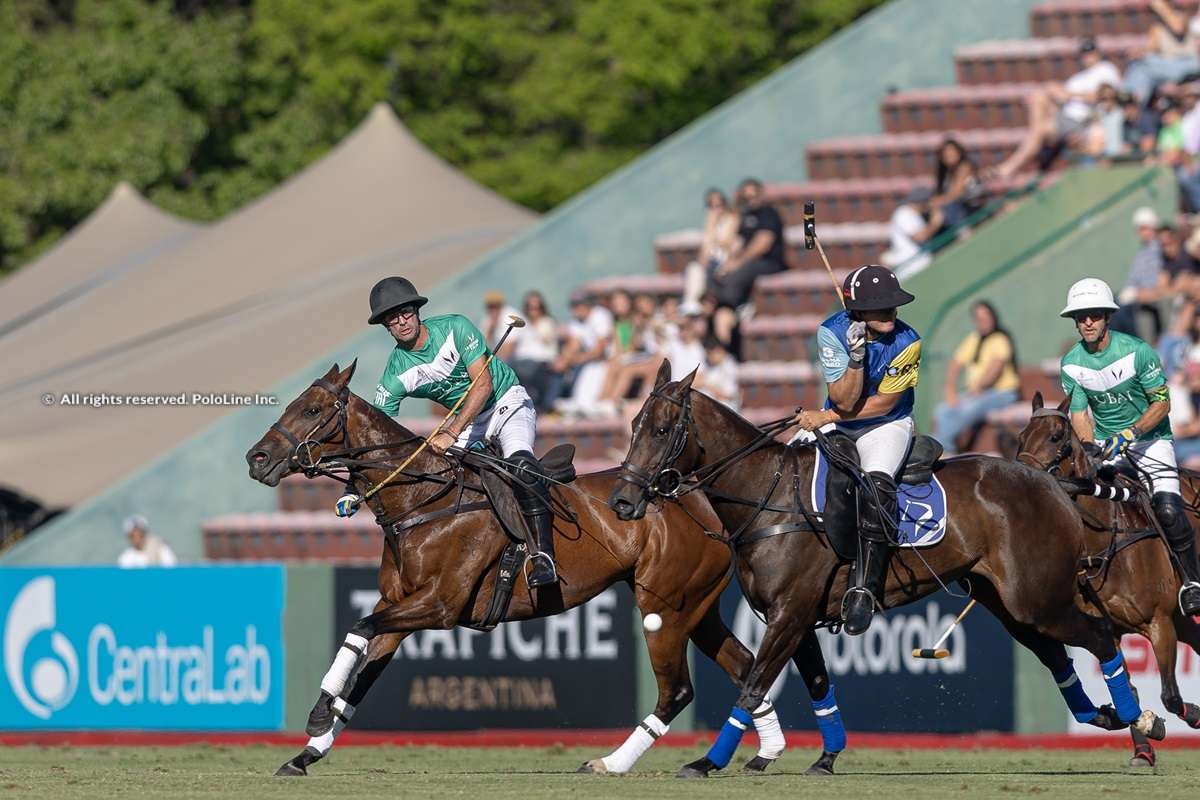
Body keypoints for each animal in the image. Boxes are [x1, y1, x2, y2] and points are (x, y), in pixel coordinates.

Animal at [246, 362, 787, 777]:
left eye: (312, 410)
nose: (257, 458)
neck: (422, 498)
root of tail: (697, 497)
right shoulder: (398, 606)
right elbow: (359, 674)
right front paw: (306, 752)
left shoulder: (438, 605)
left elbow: (357, 631)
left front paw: (317, 714)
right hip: (698, 606)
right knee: (747, 667)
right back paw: (764, 751)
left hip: (666, 608)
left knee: (677, 690)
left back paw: (612, 763)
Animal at [609, 362, 1161, 777]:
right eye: (632, 427)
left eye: (662, 430)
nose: (622, 501)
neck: (769, 497)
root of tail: (1054, 485)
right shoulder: (794, 618)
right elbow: (816, 684)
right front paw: (826, 757)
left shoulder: (789, 615)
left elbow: (754, 685)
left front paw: (707, 762)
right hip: (1010, 604)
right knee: (1056, 654)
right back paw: (1114, 716)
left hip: (1037, 597)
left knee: (1100, 635)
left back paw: (1140, 719)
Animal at [1017, 393, 1200, 753]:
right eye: (1020, 437)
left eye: (1056, 437)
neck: (1103, 541)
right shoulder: (1114, 630)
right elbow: (1129, 689)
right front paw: (1143, 748)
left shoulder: (1159, 623)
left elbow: (1170, 697)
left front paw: (1192, 716)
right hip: (1183, 620)